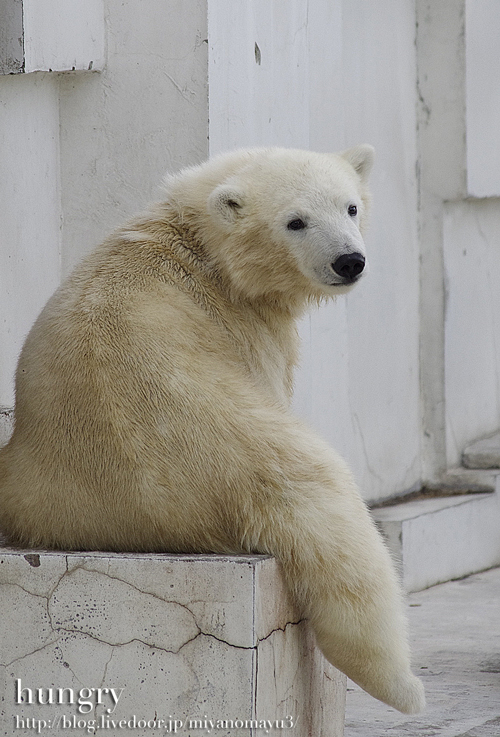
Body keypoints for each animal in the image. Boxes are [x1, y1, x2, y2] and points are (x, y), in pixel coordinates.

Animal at [0, 145, 424, 712]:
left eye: (350, 206)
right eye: (295, 221)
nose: (349, 261)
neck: (201, 243)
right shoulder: (246, 330)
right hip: (243, 454)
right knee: (332, 510)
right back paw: (404, 686)